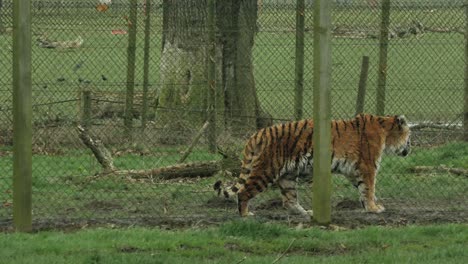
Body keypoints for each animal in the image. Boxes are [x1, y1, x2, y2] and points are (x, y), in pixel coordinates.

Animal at [214, 113, 412, 219]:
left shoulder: (353, 171)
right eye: (409, 137)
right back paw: (245, 215)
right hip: (266, 170)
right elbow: (369, 188)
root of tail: (258, 133)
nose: (410, 149)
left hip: (287, 176)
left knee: (289, 200)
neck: (386, 131)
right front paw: (373, 208)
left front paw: (370, 205)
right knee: (243, 192)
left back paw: (305, 213)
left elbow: (363, 189)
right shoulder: (367, 167)